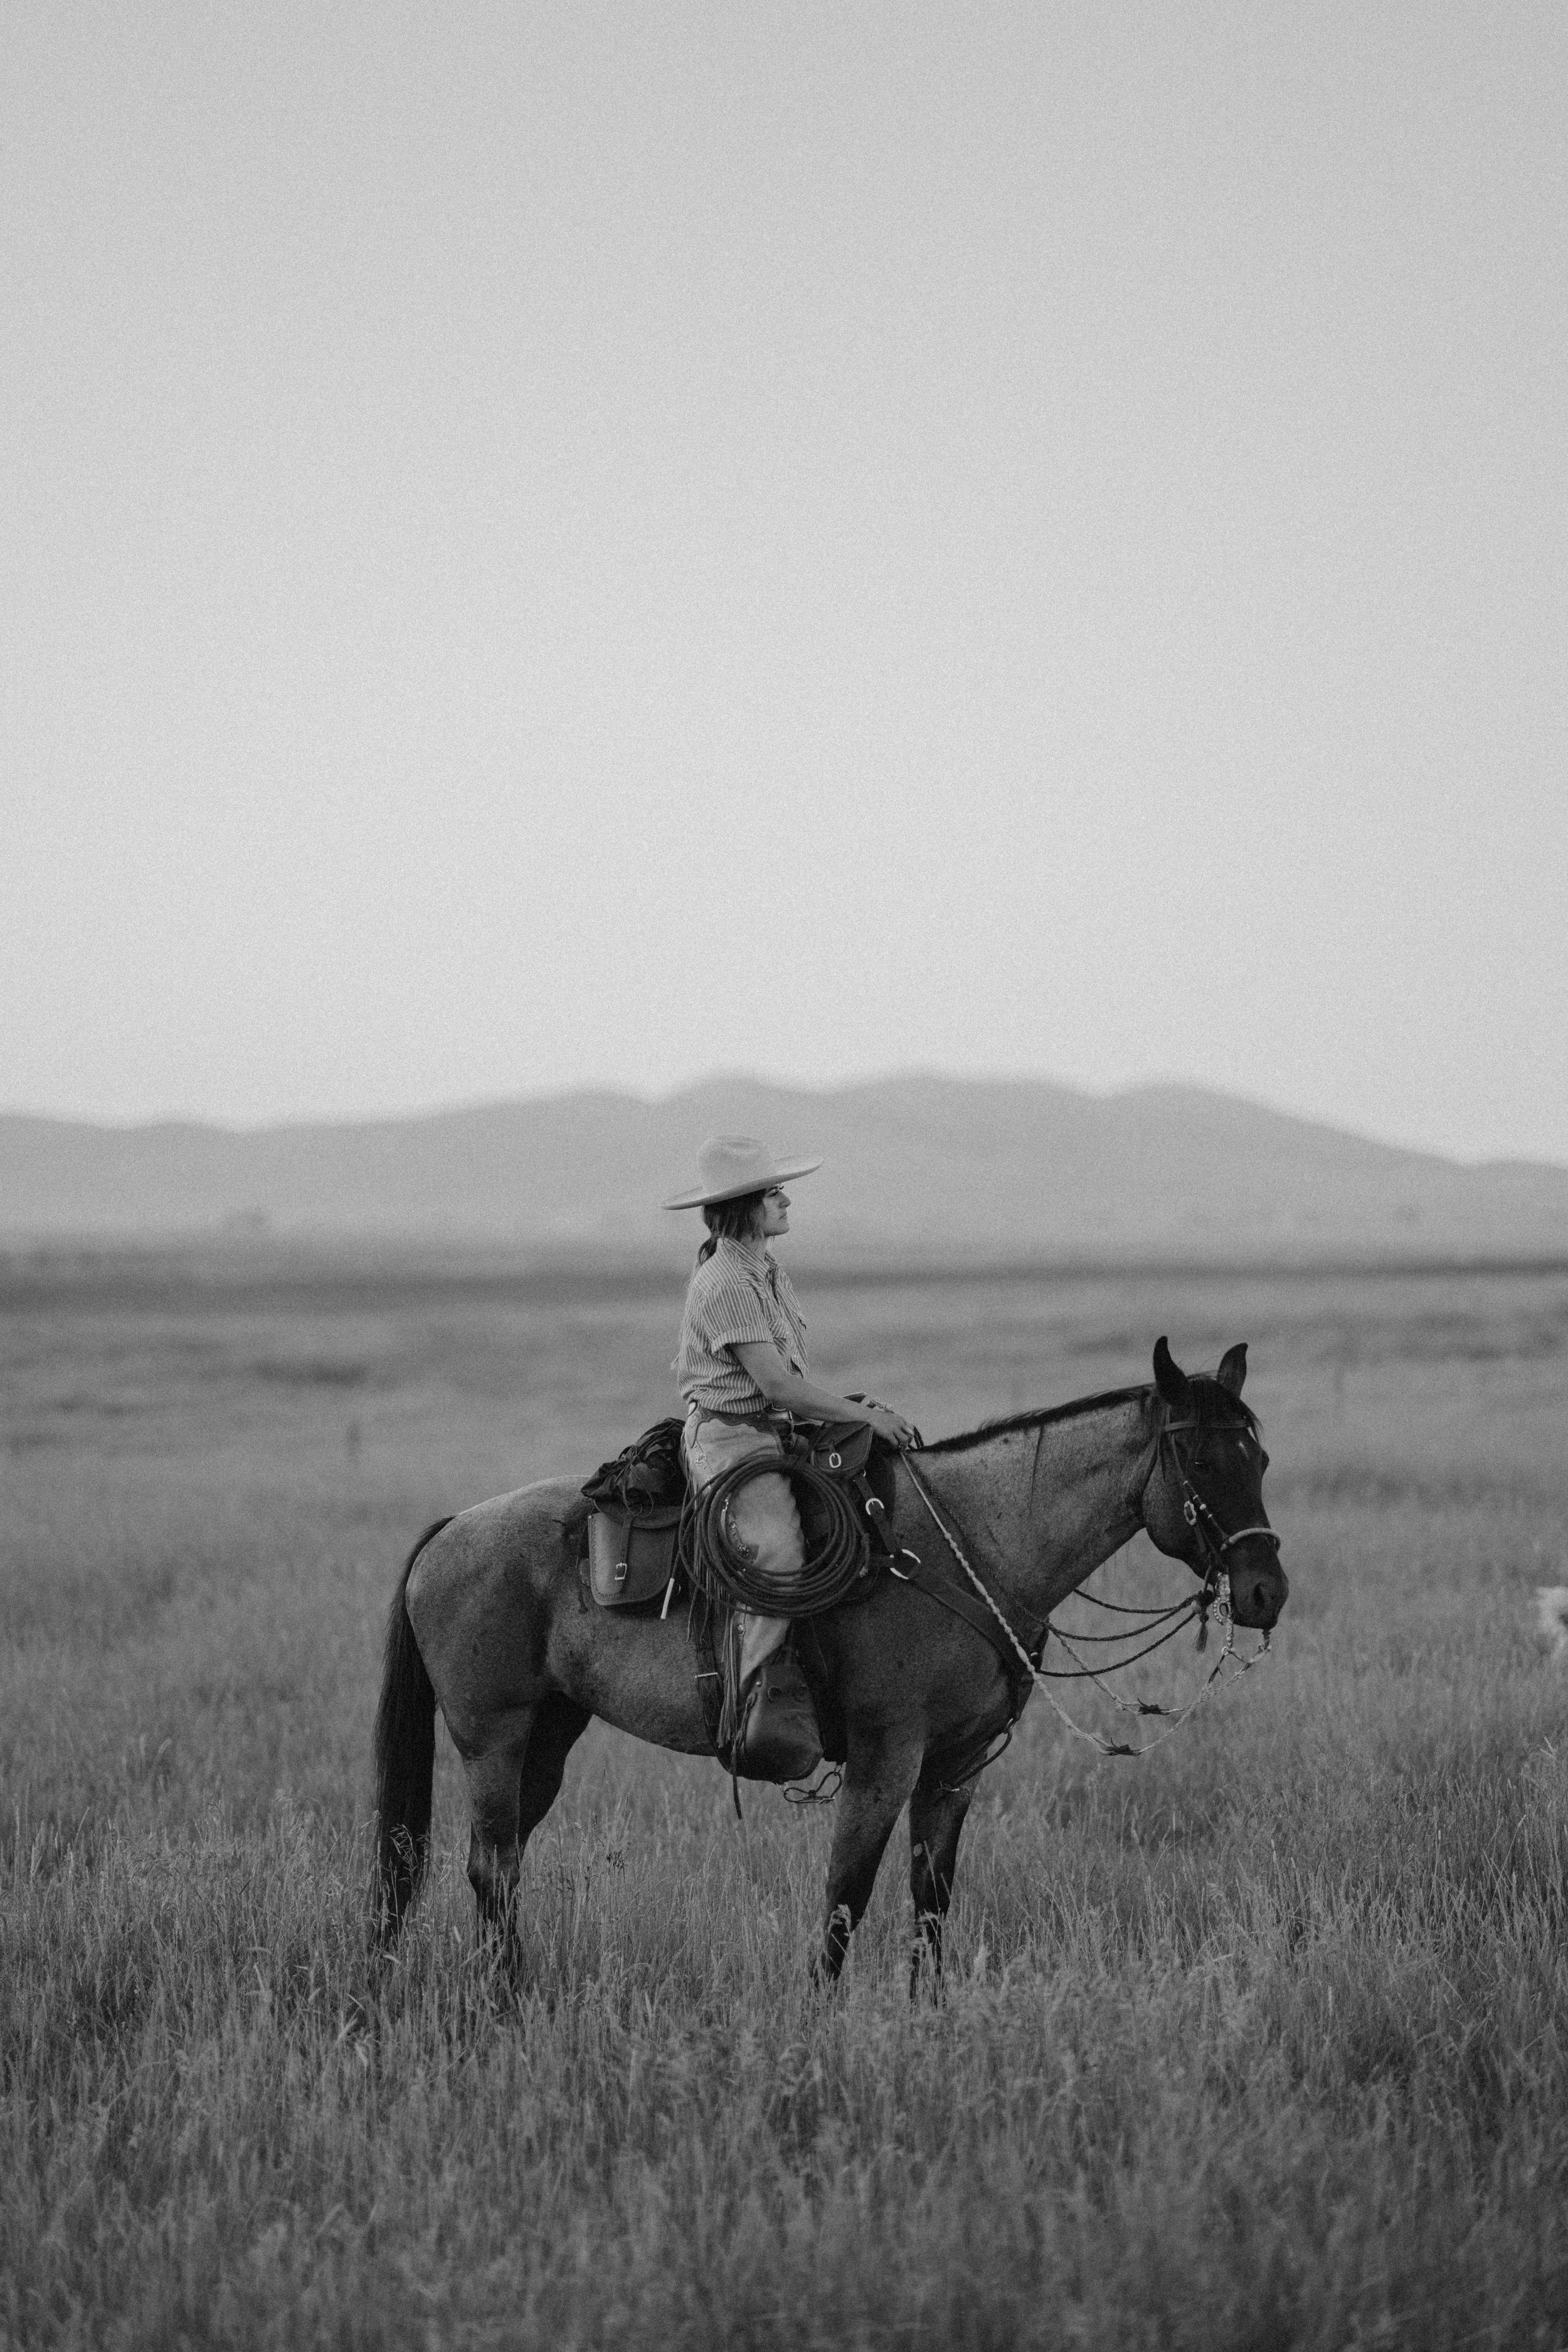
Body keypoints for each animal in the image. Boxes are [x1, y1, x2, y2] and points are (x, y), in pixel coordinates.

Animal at [372, 1337, 1287, 1985]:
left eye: (1262, 1457)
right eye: (1200, 1460)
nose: (1265, 1589)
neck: (969, 1550)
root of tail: (450, 1529)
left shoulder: (956, 1763)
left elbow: (930, 1900)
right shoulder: (887, 1753)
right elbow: (846, 1896)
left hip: (551, 1733)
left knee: (501, 1865)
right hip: (492, 1737)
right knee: (490, 1867)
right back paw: (503, 2004)